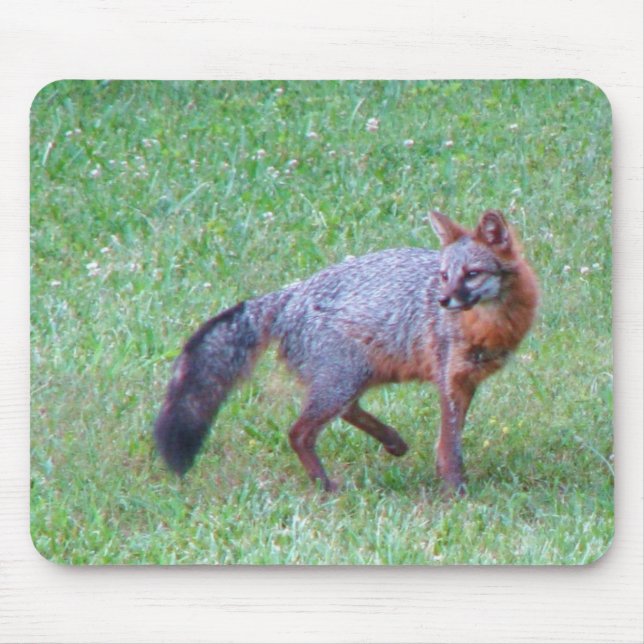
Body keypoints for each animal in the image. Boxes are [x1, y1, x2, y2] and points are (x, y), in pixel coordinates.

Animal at [154, 209, 538, 494]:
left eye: (471, 274)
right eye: (444, 275)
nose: (443, 301)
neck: (489, 325)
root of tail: (291, 294)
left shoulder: (465, 381)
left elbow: (452, 440)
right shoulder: (449, 379)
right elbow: (448, 444)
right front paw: (454, 490)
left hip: (358, 376)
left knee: (348, 411)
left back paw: (392, 442)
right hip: (343, 380)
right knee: (299, 433)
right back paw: (326, 485)